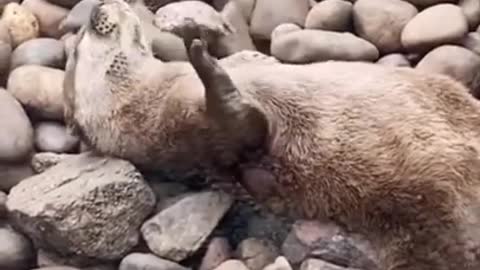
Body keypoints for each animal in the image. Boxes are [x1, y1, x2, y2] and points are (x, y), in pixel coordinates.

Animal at [64, 1, 480, 268]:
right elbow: (243, 134)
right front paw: (205, 62)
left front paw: (243, 56)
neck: (155, 97)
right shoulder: (187, 130)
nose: (95, 9)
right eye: (80, 44)